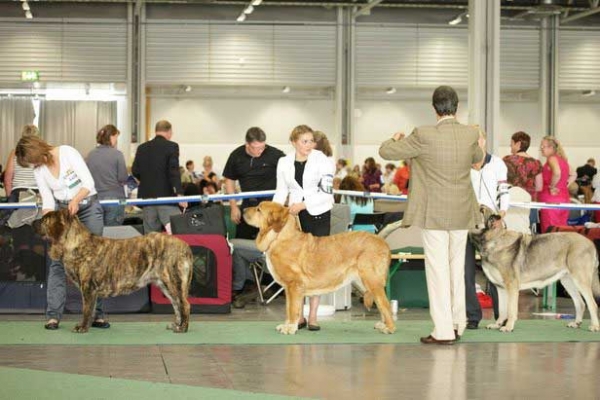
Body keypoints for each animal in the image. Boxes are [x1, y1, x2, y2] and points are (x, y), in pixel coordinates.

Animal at [34, 208, 193, 332]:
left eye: (44, 220)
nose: (32, 222)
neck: (75, 243)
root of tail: (185, 246)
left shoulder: (88, 288)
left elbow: (86, 310)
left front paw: (82, 327)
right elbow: (91, 309)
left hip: (174, 281)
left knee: (184, 304)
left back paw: (182, 328)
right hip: (165, 284)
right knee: (176, 305)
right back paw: (176, 325)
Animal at [241, 200, 396, 334]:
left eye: (259, 209)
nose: (243, 210)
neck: (278, 237)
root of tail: (383, 243)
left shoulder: (294, 285)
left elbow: (293, 309)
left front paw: (290, 328)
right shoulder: (289, 289)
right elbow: (289, 308)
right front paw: (287, 325)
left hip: (372, 281)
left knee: (385, 305)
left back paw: (389, 328)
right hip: (366, 283)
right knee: (381, 304)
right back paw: (382, 324)